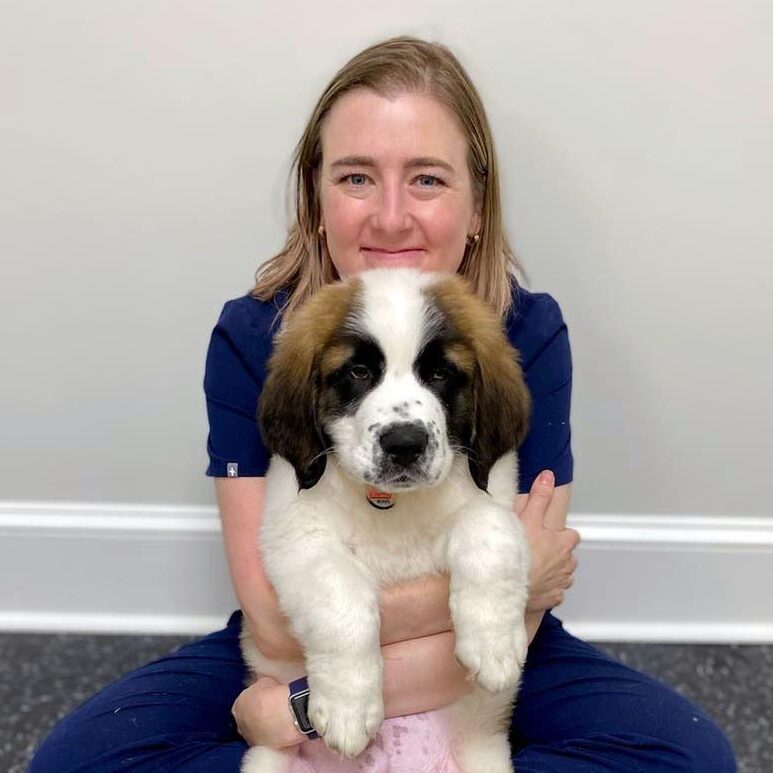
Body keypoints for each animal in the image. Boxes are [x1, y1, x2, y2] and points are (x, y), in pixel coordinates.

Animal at [240, 266, 532, 772]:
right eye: (359, 373)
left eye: (440, 374)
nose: (404, 444)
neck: (389, 503)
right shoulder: (294, 536)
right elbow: (341, 597)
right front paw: (347, 707)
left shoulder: (494, 499)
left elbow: (486, 529)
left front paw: (493, 645)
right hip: (266, 760)